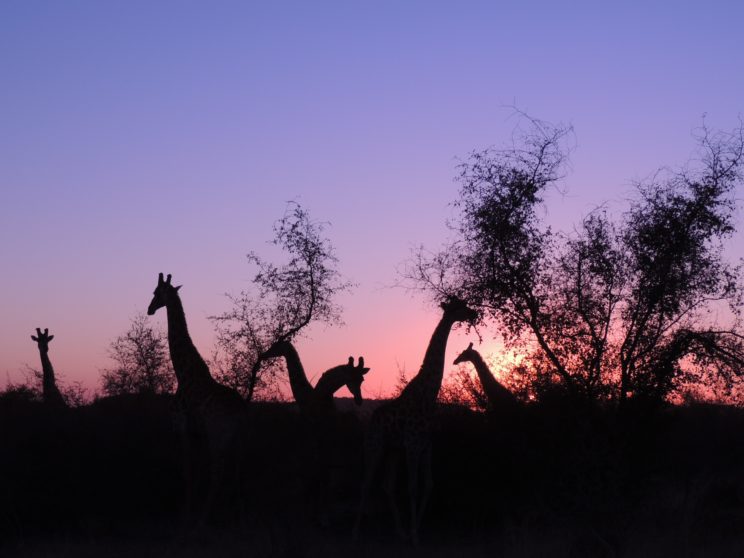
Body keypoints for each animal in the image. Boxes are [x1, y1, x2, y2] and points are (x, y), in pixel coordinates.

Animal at [146, 274, 247, 528]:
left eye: (156, 293)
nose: (149, 309)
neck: (182, 374)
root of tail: (241, 411)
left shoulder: (181, 425)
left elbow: (188, 470)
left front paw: (186, 513)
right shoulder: (197, 433)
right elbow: (196, 470)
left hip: (218, 435)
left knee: (219, 472)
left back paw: (204, 519)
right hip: (238, 438)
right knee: (238, 469)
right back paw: (236, 514)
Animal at [354, 298, 476, 548]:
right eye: (459, 306)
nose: (474, 313)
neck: (427, 395)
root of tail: (370, 422)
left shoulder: (426, 444)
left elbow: (428, 484)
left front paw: (413, 532)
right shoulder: (412, 445)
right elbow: (412, 488)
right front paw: (414, 535)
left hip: (392, 450)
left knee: (387, 485)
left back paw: (399, 533)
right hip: (375, 446)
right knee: (366, 482)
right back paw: (356, 534)